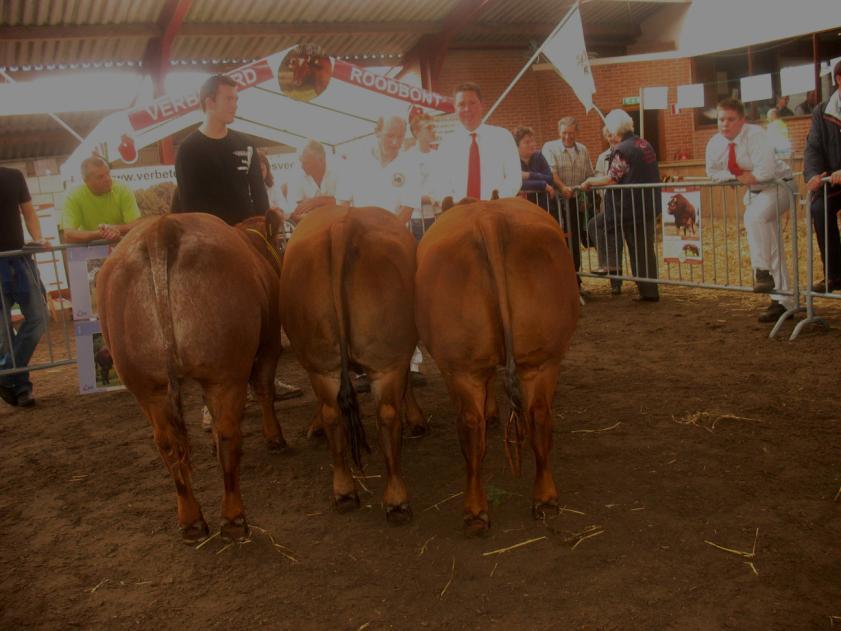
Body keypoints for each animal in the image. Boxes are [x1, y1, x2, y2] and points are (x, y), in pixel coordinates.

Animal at [97, 211, 288, 544]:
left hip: (147, 385)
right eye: (278, 241)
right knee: (228, 435)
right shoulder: (269, 344)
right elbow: (265, 389)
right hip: (226, 373)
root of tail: (162, 227)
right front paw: (274, 437)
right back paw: (233, 519)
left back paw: (191, 520)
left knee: (167, 443)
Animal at [280, 206, 424, 524]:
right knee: (386, 415)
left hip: (321, 362)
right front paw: (417, 419)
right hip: (385, 361)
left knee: (333, 414)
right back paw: (397, 498)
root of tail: (342, 223)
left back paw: (344, 490)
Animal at [414, 200, 576, 536]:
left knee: (470, 427)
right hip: (543, 359)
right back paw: (545, 499)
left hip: (460, 368)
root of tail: (489, 218)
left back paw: (475, 511)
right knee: (539, 416)